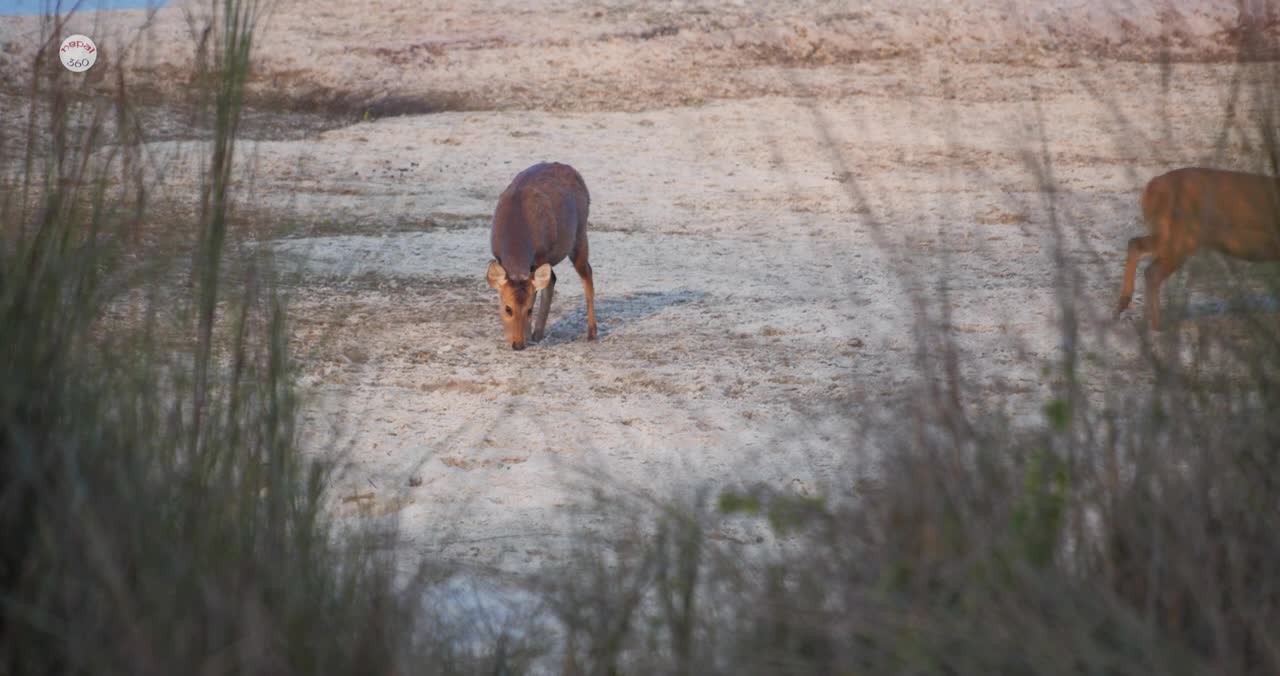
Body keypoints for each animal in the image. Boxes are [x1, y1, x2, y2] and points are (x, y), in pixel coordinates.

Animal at [486, 163, 596, 350]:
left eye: (530, 309)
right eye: (507, 308)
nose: (518, 345)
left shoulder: (542, 255)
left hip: (580, 233)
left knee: (586, 273)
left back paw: (592, 332)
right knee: (555, 279)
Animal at [1111, 166, 1280, 330]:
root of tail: (1151, 187)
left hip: (1171, 236)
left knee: (1136, 246)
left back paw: (1124, 309)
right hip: (1179, 237)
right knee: (1151, 270)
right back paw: (1156, 327)